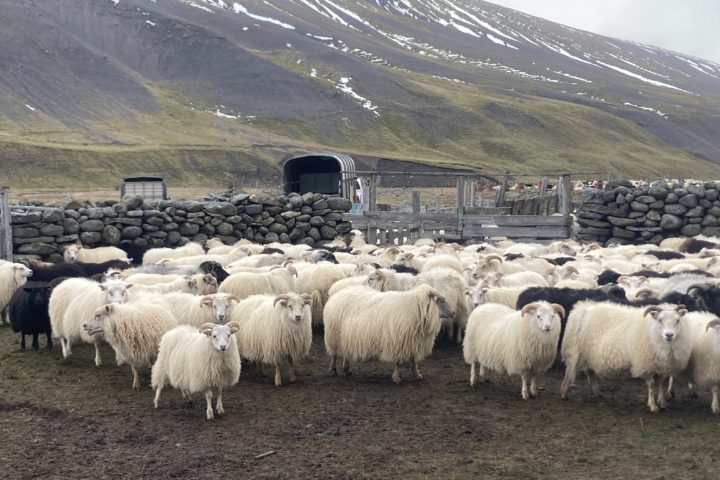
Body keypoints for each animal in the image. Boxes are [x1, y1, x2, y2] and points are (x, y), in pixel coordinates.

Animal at [324, 284, 452, 382]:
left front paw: (417, 375)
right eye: (441, 301)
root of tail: (337, 294)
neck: (417, 309)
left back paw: (347, 369)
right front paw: (397, 378)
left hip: (346, 336)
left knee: (346, 352)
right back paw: (333, 370)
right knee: (334, 355)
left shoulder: (411, 341)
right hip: (334, 335)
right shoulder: (400, 342)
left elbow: (413, 361)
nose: (453, 313)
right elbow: (399, 362)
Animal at [560, 304, 696, 412]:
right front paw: (653, 406)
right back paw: (564, 393)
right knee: (568, 372)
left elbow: (661, 383)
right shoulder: (645, 363)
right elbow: (651, 385)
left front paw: (662, 402)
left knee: (590, 372)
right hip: (575, 352)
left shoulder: (662, 364)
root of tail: (583, 309)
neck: (652, 331)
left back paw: (596, 393)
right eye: (660, 320)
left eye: (677, 320)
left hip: (590, 354)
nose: (669, 335)